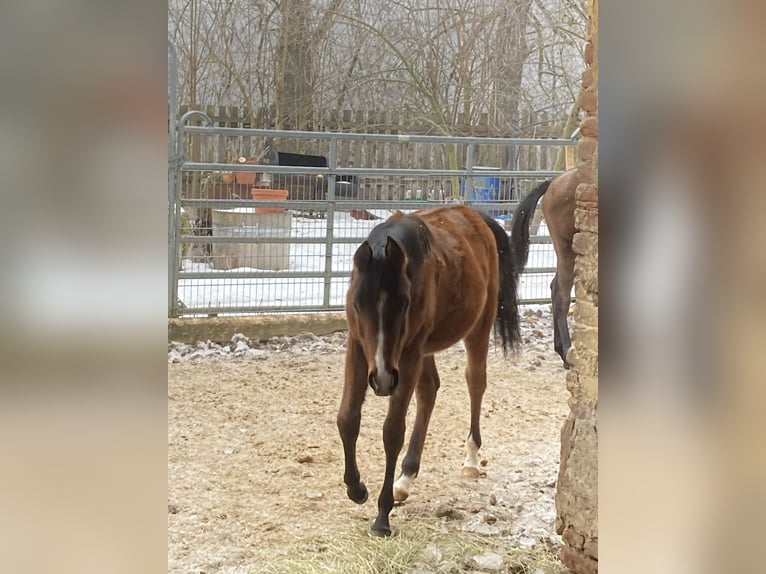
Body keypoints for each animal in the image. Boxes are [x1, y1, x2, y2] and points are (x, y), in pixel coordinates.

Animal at [337, 205, 521, 537]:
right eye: (358, 305)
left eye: (404, 304)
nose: (381, 379)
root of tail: (477, 218)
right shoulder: (358, 346)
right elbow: (347, 419)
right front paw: (356, 488)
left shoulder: (407, 354)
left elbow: (392, 431)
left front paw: (382, 517)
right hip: (421, 351)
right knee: (429, 392)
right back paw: (405, 479)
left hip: (475, 328)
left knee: (476, 382)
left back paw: (471, 460)